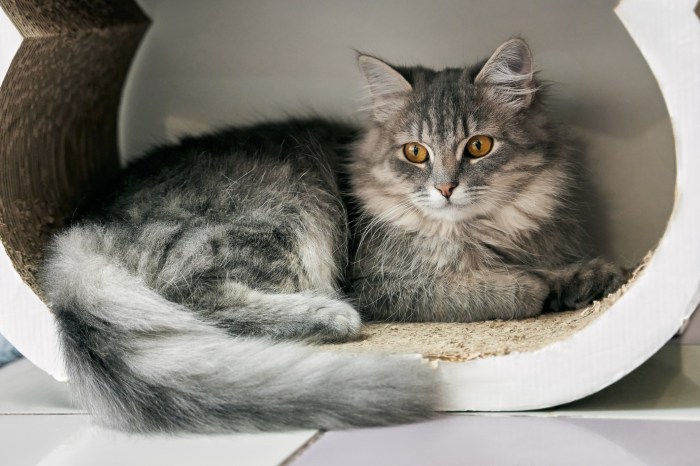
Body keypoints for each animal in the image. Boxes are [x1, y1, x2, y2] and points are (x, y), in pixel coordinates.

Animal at [348, 38, 624, 322]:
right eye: (415, 152)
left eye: (479, 146)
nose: (445, 188)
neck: (475, 232)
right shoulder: (374, 285)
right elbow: (460, 290)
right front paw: (531, 285)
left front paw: (591, 277)